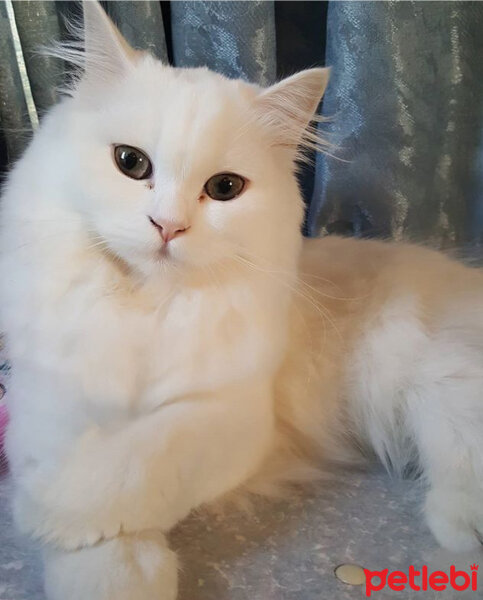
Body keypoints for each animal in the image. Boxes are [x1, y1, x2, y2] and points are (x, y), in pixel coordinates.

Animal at [0, 2, 482, 596]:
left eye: (224, 188)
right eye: (130, 163)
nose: (168, 226)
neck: (148, 306)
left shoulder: (230, 417)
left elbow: (132, 463)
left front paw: (61, 514)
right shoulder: (48, 401)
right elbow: (82, 483)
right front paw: (106, 567)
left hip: (437, 387)